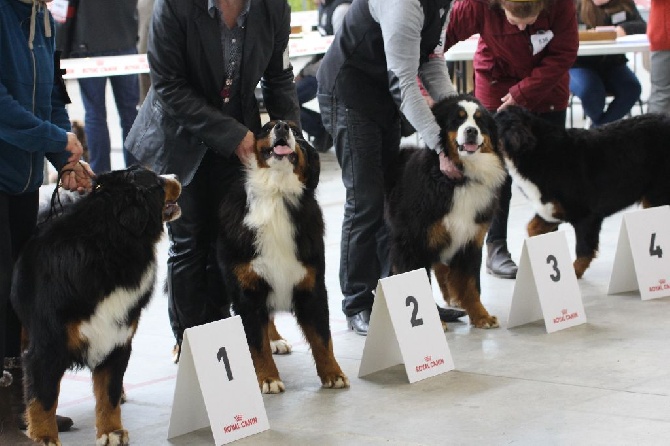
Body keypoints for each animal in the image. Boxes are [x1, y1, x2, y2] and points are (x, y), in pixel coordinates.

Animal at [11, 166, 182, 446]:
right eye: (156, 181)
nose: (177, 177)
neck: (109, 249)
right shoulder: (47, 343)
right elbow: (43, 396)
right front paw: (44, 436)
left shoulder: (118, 334)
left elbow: (108, 390)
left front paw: (111, 431)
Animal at [218, 119, 352, 394]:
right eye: (267, 127)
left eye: (296, 131)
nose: (280, 126)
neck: (276, 192)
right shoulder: (247, 289)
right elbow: (257, 344)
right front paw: (268, 378)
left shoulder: (311, 284)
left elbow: (323, 338)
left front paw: (333, 374)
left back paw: (276, 340)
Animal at [386, 94, 506, 330]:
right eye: (458, 120)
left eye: (479, 121)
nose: (471, 131)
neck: (459, 180)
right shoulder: (414, 243)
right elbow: (420, 281)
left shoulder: (470, 239)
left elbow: (470, 283)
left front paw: (481, 316)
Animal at [498, 106, 670, 278]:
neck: (539, 153)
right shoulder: (552, 209)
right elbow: (532, 227)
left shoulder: (585, 215)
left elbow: (583, 250)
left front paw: (573, 273)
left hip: (657, 197)